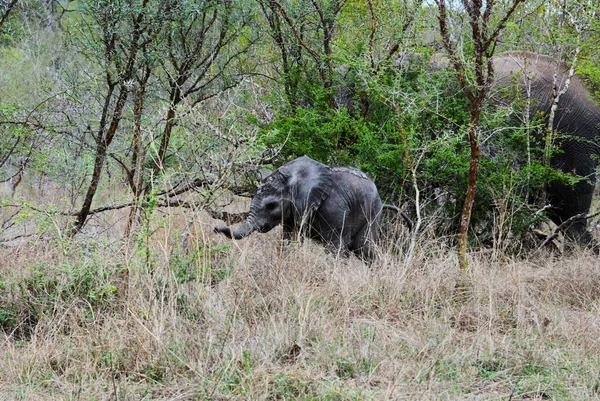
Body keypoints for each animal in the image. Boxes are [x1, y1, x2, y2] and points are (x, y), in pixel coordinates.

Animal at [213, 155, 414, 260]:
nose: (215, 229)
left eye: (271, 205)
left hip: (372, 214)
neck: (294, 177)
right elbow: (290, 240)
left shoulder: (334, 208)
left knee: (364, 249)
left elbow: (335, 247)